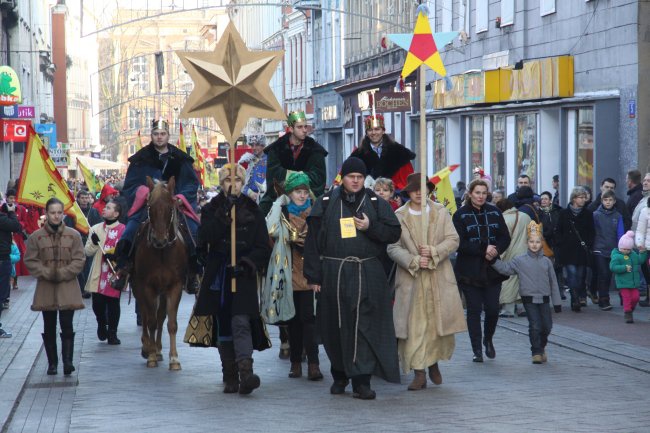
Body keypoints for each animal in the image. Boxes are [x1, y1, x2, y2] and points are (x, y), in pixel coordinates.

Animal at [132, 176, 186, 368]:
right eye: (149, 207)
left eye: (170, 207)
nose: (159, 240)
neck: (162, 252)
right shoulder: (147, 286)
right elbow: (151, 321)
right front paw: (151, 356)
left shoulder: (175, 286)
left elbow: (170, 323)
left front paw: (174, 359)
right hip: (138, 287)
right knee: (146, 314)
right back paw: (148, 347)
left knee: (160, 315)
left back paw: (159, 348)